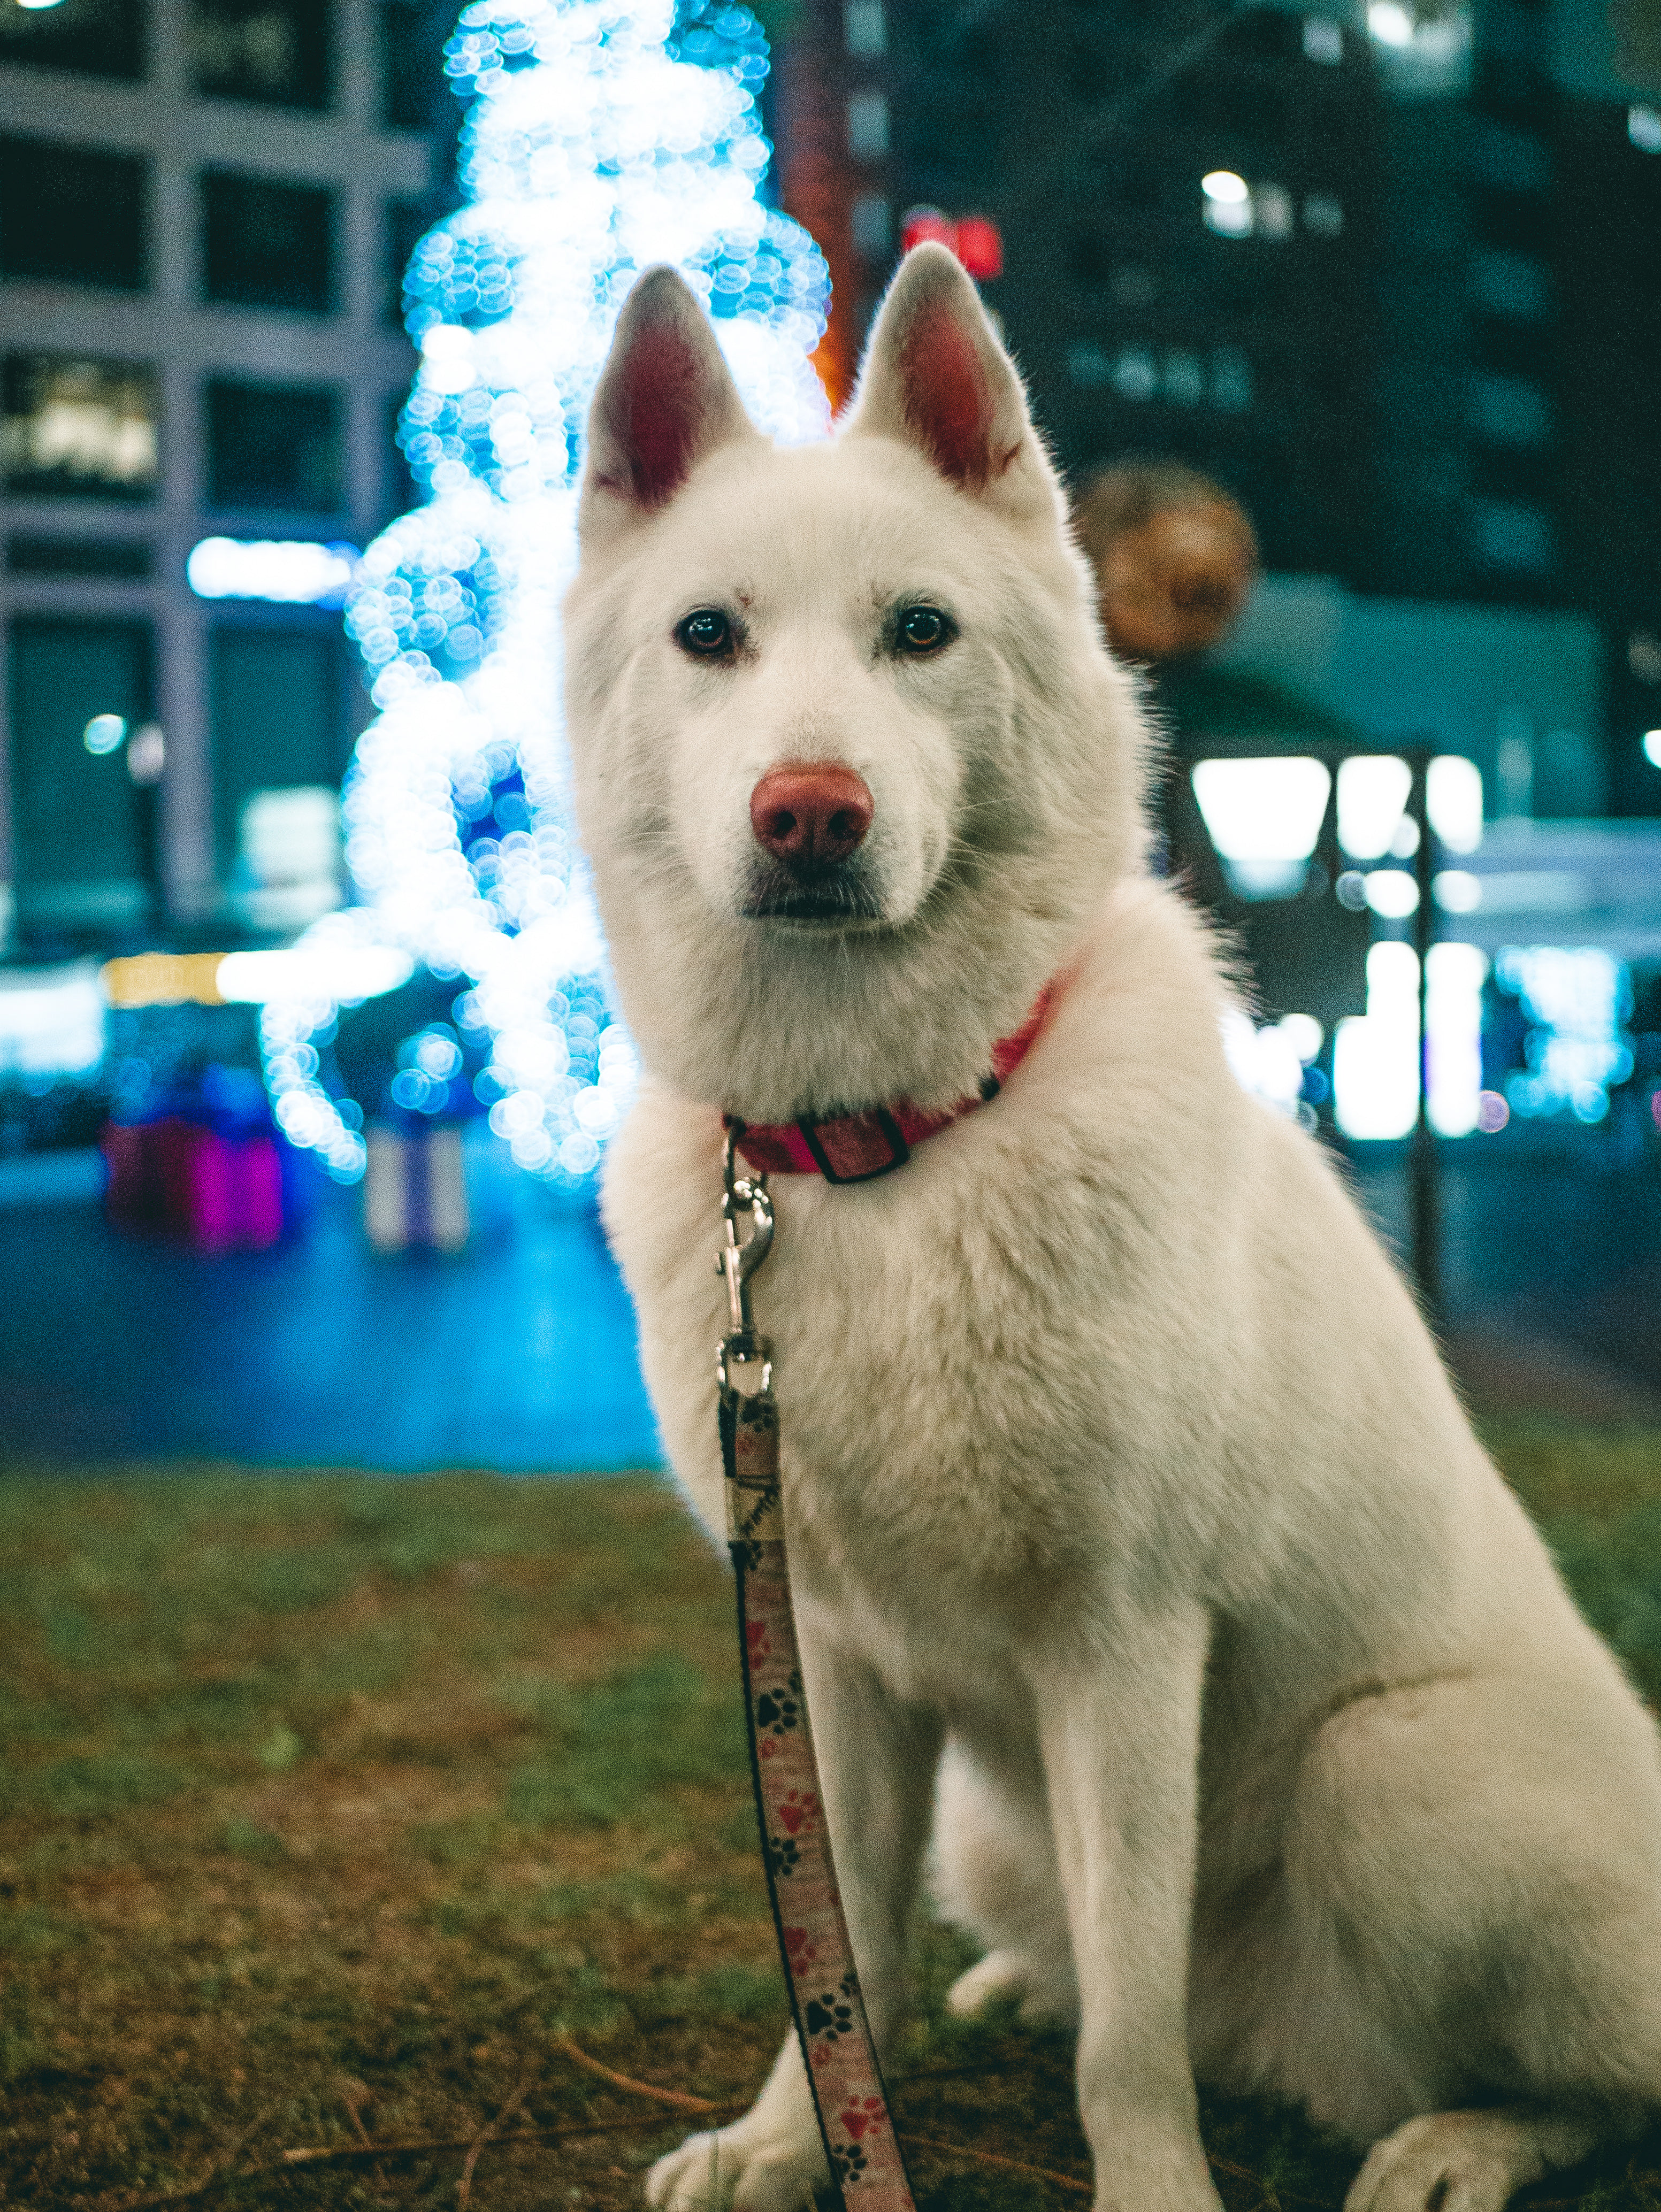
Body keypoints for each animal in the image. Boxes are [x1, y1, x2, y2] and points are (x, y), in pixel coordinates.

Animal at [566, 242, 1661, 2212]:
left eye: (921, 632)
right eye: (707, 638)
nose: (810, 814)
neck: (884, 1146)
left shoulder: (1126, 1646)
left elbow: (1127, 2042)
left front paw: (1146, 2181)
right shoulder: (828, 1662)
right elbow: (840, 1948)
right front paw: (791, 2136)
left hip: (1386, 1774)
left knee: (1581, 2075)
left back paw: (1456, 2142)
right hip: (995, 1832)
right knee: (1061, 1952)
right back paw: (1020, 1979)